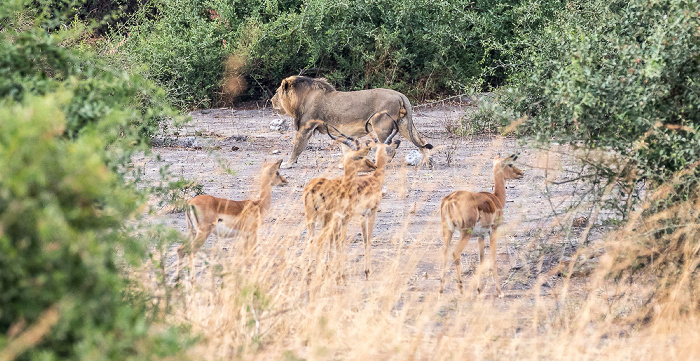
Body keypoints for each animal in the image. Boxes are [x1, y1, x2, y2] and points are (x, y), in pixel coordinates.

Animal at [270, 76, 430, 169]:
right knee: (421, 141)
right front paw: (345, 163)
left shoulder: (305, 127)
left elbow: (297, 147)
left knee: (390, 148)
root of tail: (399, 94)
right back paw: (427, 162)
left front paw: (288, 164)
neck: (302, 99)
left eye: (277, 92)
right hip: (403, 124)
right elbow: (345, 149)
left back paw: (378, 164)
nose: (271, 101)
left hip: (381, 126)